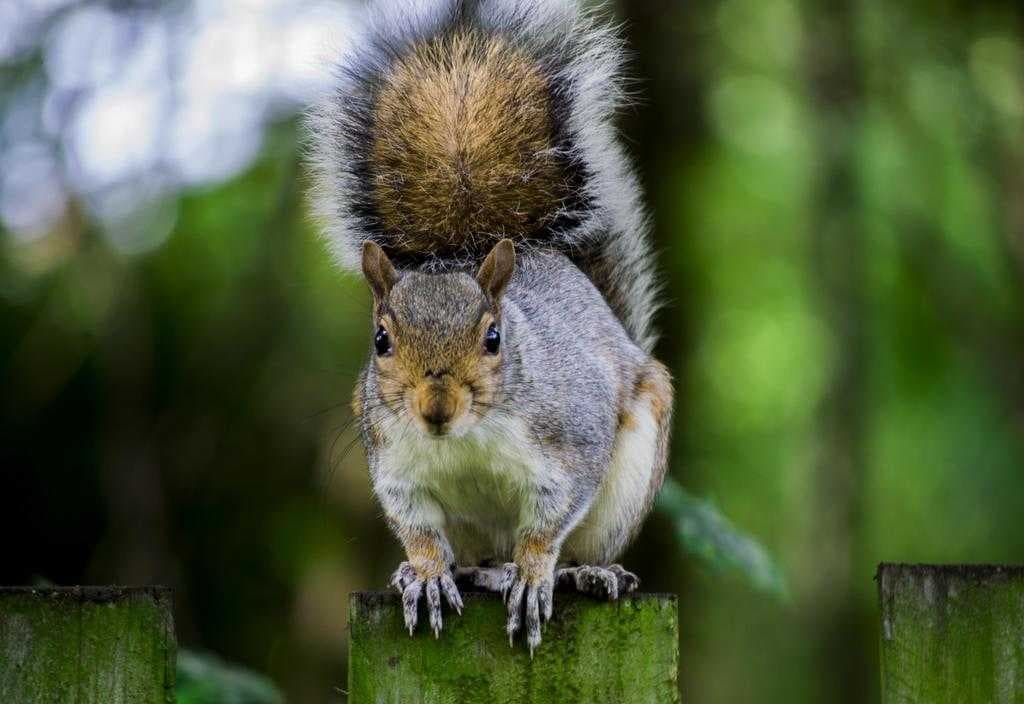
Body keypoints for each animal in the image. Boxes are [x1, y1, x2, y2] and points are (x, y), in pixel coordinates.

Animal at [306, 0, 673, 652]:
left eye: (494, 338)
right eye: (381, 340)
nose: (436, 408)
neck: (464, 441)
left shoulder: (573, 441)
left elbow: (548, 524)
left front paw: (533, 574)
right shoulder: (394, 466)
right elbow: (418, 529)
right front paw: (426, 573)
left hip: (628, 479)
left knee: (578, 546)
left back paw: (586, 572)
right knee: (475, 563)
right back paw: (450, 573)